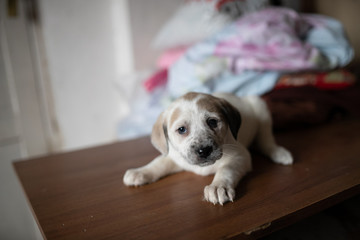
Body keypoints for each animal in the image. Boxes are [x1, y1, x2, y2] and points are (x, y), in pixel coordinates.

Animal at [124, 92, 292, 204]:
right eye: (182, 130)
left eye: (212, 122)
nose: (203, 150)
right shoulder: (175, 157)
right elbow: (158, 163)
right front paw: (140, 172)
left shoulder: (240, 156)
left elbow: (226, 170)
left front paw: (218, 187)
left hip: (261, 109)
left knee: (266, 140)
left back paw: (279, 153)